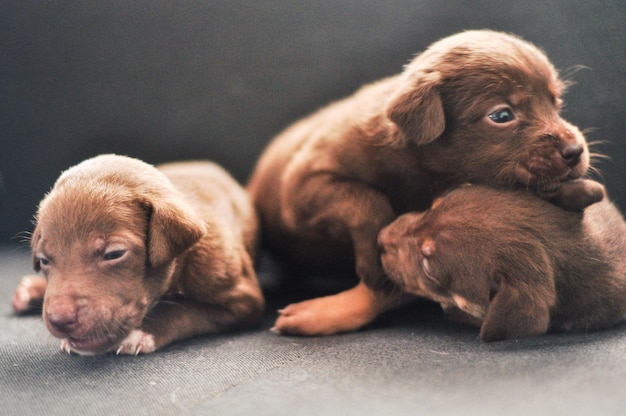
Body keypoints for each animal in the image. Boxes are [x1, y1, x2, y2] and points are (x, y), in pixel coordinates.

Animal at [14, 154, 264, 356]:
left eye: (114, 254)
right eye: (44, 261)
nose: (60, 320)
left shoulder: (244, 300)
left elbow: (181, 309)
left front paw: (140, 333)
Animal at [247, 29, 600, 336]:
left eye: (555, 102)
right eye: (501, 115)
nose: (575, 151)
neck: (420, 169)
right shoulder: (303, 184)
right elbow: (366, 201)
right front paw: (372, 266)